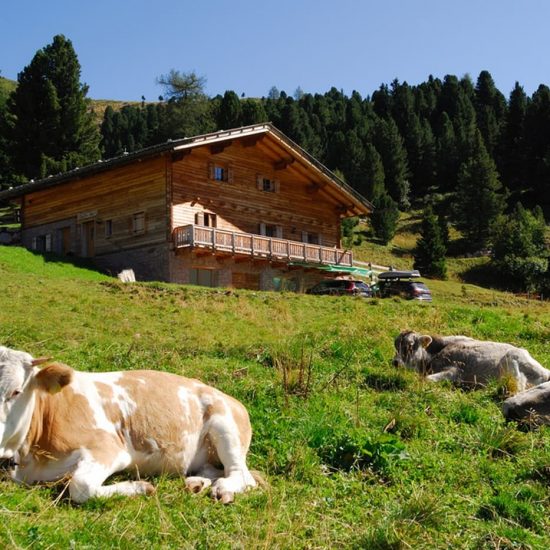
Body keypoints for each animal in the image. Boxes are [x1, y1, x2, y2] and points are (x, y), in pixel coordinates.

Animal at [0, 348, 258, 506]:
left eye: (16, 391)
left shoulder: (108, 449)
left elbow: (81, 486)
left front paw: (142, 487)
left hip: (225, 427)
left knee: (242, 476)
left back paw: (222, 489)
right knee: (211, 470)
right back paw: (196, 483)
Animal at [392, 330, 550, 394]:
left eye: (410, 345)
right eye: (396, 346)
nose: (395, 362)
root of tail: (546, 373)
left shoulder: (455, 371)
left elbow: (426, 379)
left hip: (513, 358)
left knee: (517, 390)